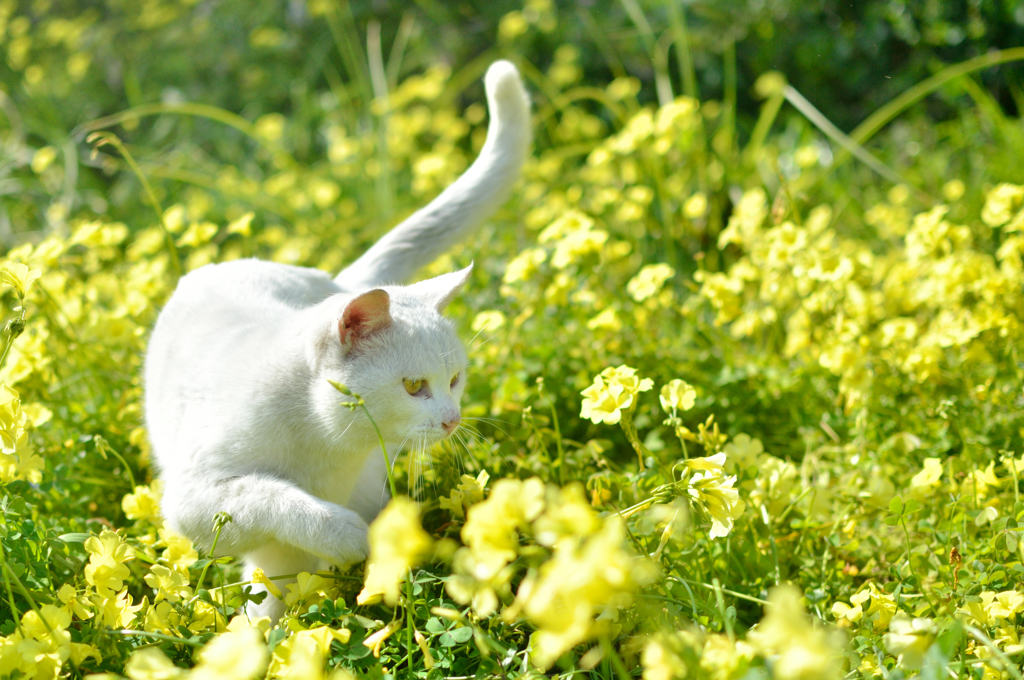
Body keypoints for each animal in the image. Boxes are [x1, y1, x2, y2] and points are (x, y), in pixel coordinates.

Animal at [146, 61, 528, 618]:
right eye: (414, 386)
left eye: (455, 380)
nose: (452, 420)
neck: (323, 442)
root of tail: (329, 281)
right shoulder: (196, 499)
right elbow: (274, 499)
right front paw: (347, 537)